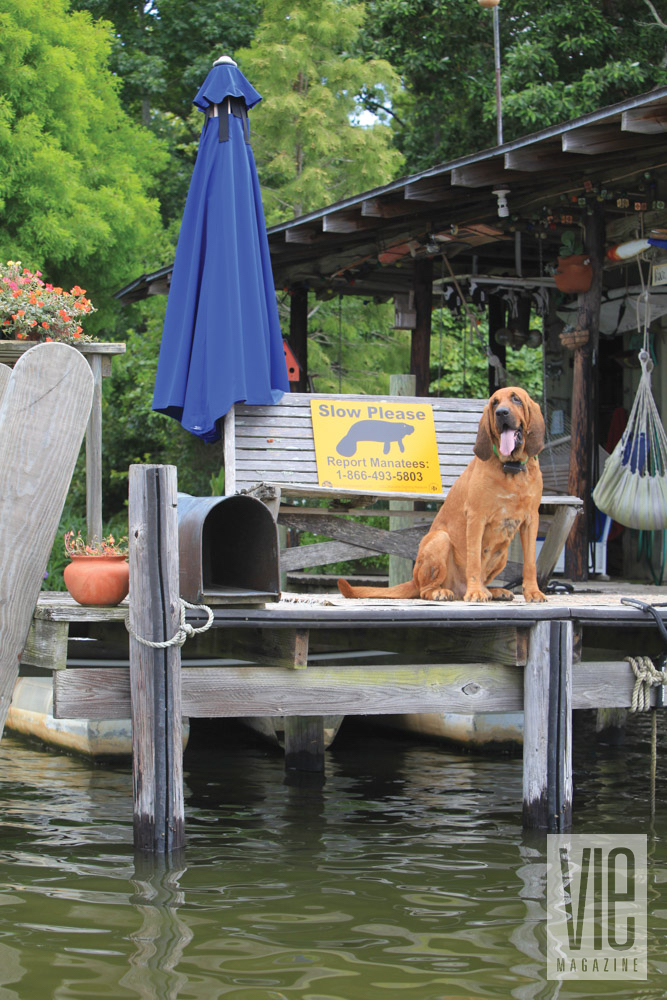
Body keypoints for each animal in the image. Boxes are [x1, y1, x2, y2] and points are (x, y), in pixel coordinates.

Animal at [340, 384, 548, 600]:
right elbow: (474, 560)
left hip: (503, 554)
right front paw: (475, 593)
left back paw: (493, 591)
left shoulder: (531, 520)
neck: (511, 469)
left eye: (516, 399)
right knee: (425, 590)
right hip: (440, 539)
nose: (501, 413)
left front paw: (533, 592)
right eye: (494, 403)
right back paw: (445, 592)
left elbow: (530, 563)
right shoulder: (477, 517)